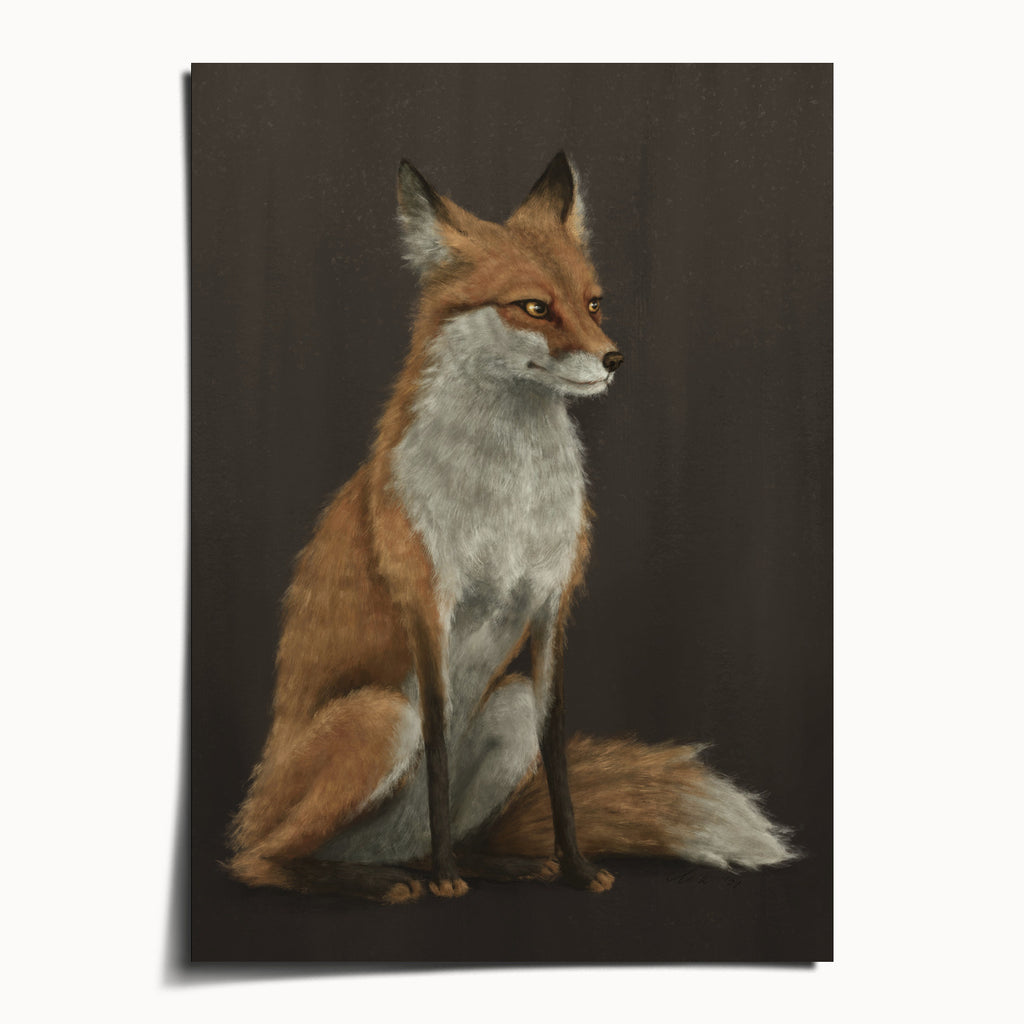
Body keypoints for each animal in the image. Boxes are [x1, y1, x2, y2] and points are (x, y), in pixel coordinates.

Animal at [226, 152, 797, 903]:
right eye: (533, 307)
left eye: (593, 303)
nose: (614, 359)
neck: (510, 498)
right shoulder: (428, 606)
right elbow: (439, 752)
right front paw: (447, 882)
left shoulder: (552, 606)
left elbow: (558, 763)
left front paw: (576, 868)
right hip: (380, 718)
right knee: (260, 860)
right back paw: (386, 880)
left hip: (509, 705)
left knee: (433, 835)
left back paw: (491, 864)